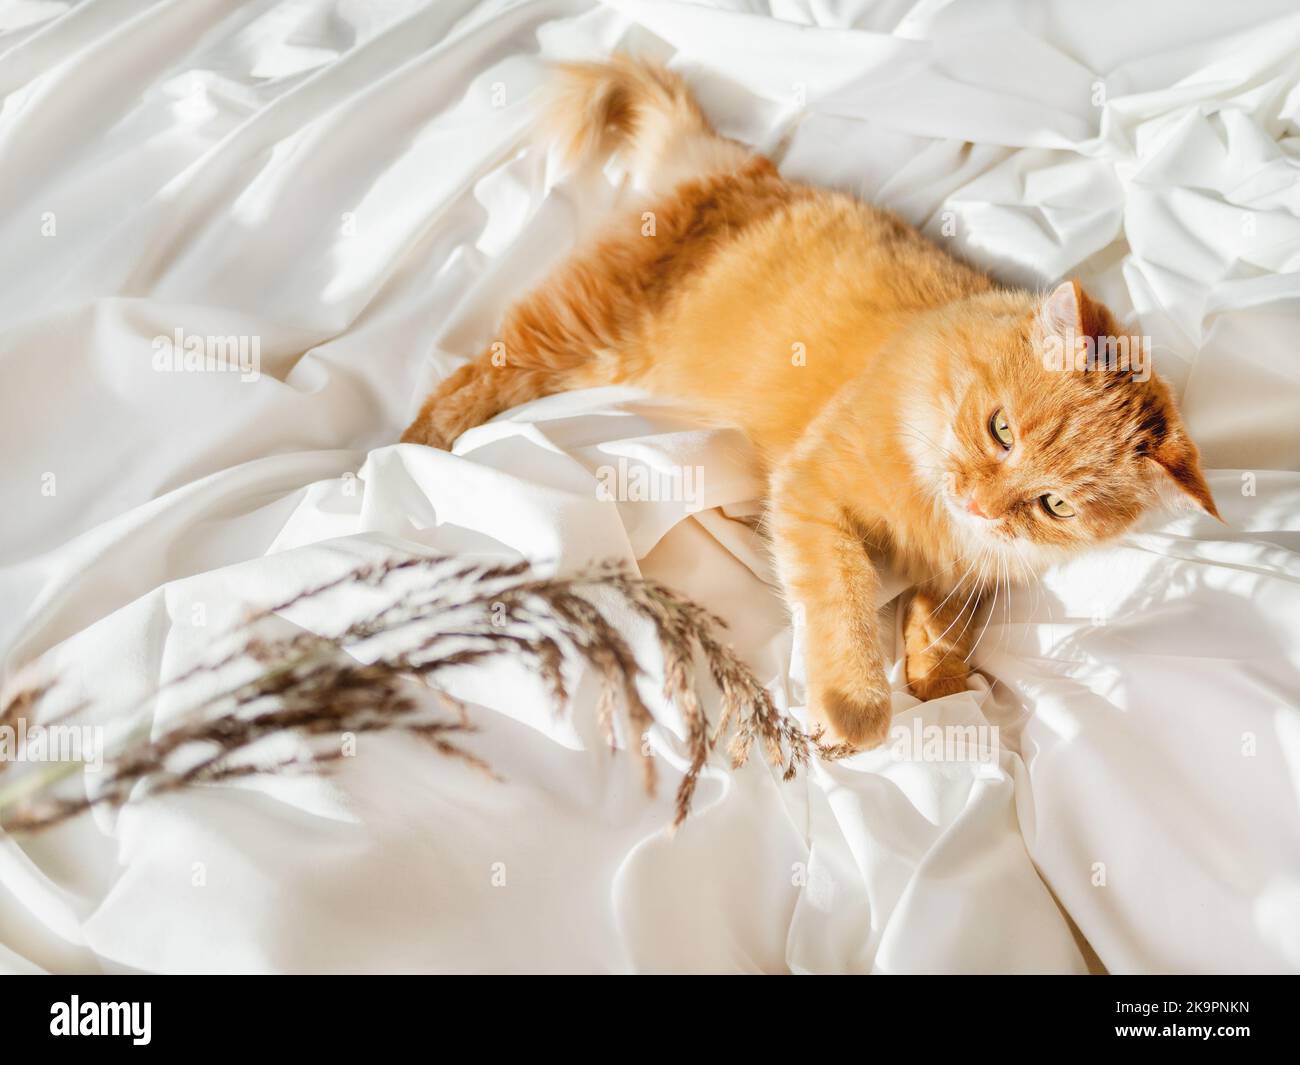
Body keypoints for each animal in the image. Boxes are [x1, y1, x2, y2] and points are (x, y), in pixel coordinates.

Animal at [397, 52, 1216, 749]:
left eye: (1053, 506)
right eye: (1002, 430)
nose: (980, 503)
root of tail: (740, 163)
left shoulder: (959, 572)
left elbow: (947, 622)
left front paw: (939, 677)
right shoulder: (816, 491)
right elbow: (845, 602)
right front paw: (855, 708)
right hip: (582, 331)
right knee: (467, 380)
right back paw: (408, 453)